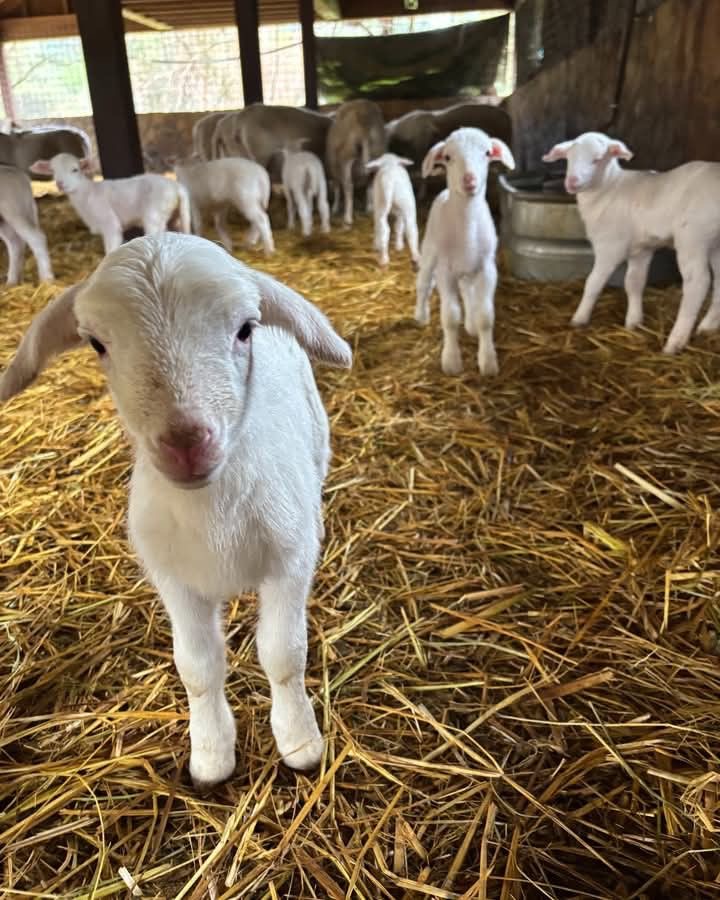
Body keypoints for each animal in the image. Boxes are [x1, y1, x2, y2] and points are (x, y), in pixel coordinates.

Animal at [0, 232, 352, 788]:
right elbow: (198, 666)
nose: (186, 441)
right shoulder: (172, 578)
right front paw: (211, 755)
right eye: (97, 344)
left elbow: (283, 653)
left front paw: (299, 741)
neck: (213, 510)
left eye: (245, 329)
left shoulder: (290, 559)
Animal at [30, 154, 191, 255]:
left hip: (155, 216)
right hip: (176, 217)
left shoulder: (110, 224)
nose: (60, 184)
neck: (87, 193)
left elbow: (110, 251)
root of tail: (176, 187)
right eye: (53, 171)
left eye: (75, 169)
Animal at [415, 127, 515, 376]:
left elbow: (486, 316)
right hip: (430, 251)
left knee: (467, 291)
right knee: (423, 284)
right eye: (448, 157)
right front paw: (451, 362)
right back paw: (420, 316)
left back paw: (470, 324)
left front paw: (488, 362)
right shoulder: (445, 271)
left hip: (468, 269)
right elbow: (450, 317)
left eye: (487, 153)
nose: (469, 180)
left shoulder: (487, 269)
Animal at [542, 132, 720, 354]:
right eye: (569, 158)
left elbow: (593, 282)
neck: (609, 189)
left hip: (693, 236)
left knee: (698, 282)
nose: (571, 182)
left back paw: (675, 342)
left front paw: (579, 318)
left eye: (597, 159)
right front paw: (634, 322)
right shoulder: (641, 249)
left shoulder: (610, 246)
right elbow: (634, 282)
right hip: (715, 242)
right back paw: (707, 326)